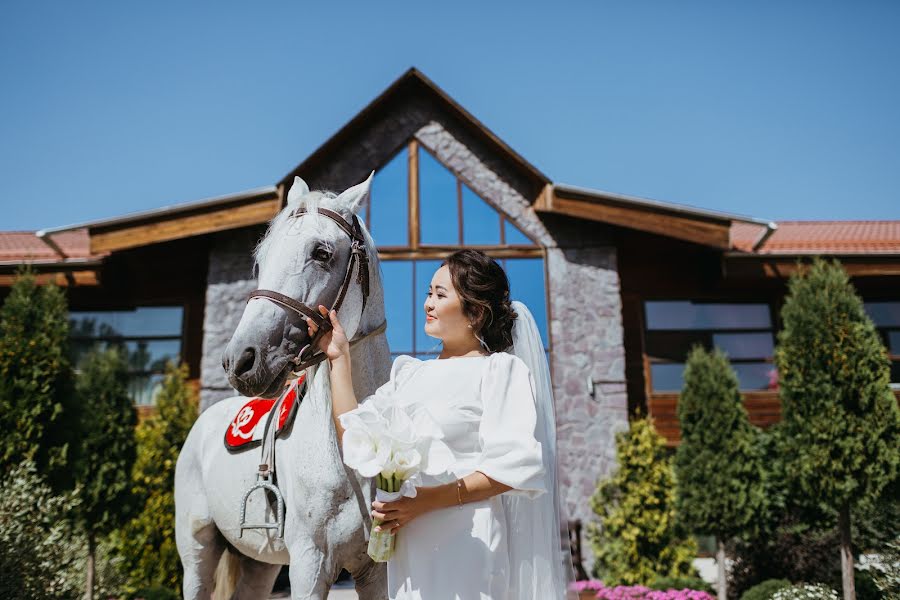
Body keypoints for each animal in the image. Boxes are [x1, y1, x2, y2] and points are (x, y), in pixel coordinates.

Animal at [176, 175, 390, 600]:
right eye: (261, 260)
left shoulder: (378, 571)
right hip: (197, 554)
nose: (239, 360)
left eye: (321, 253)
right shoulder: (309, 565)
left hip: (259, 565)